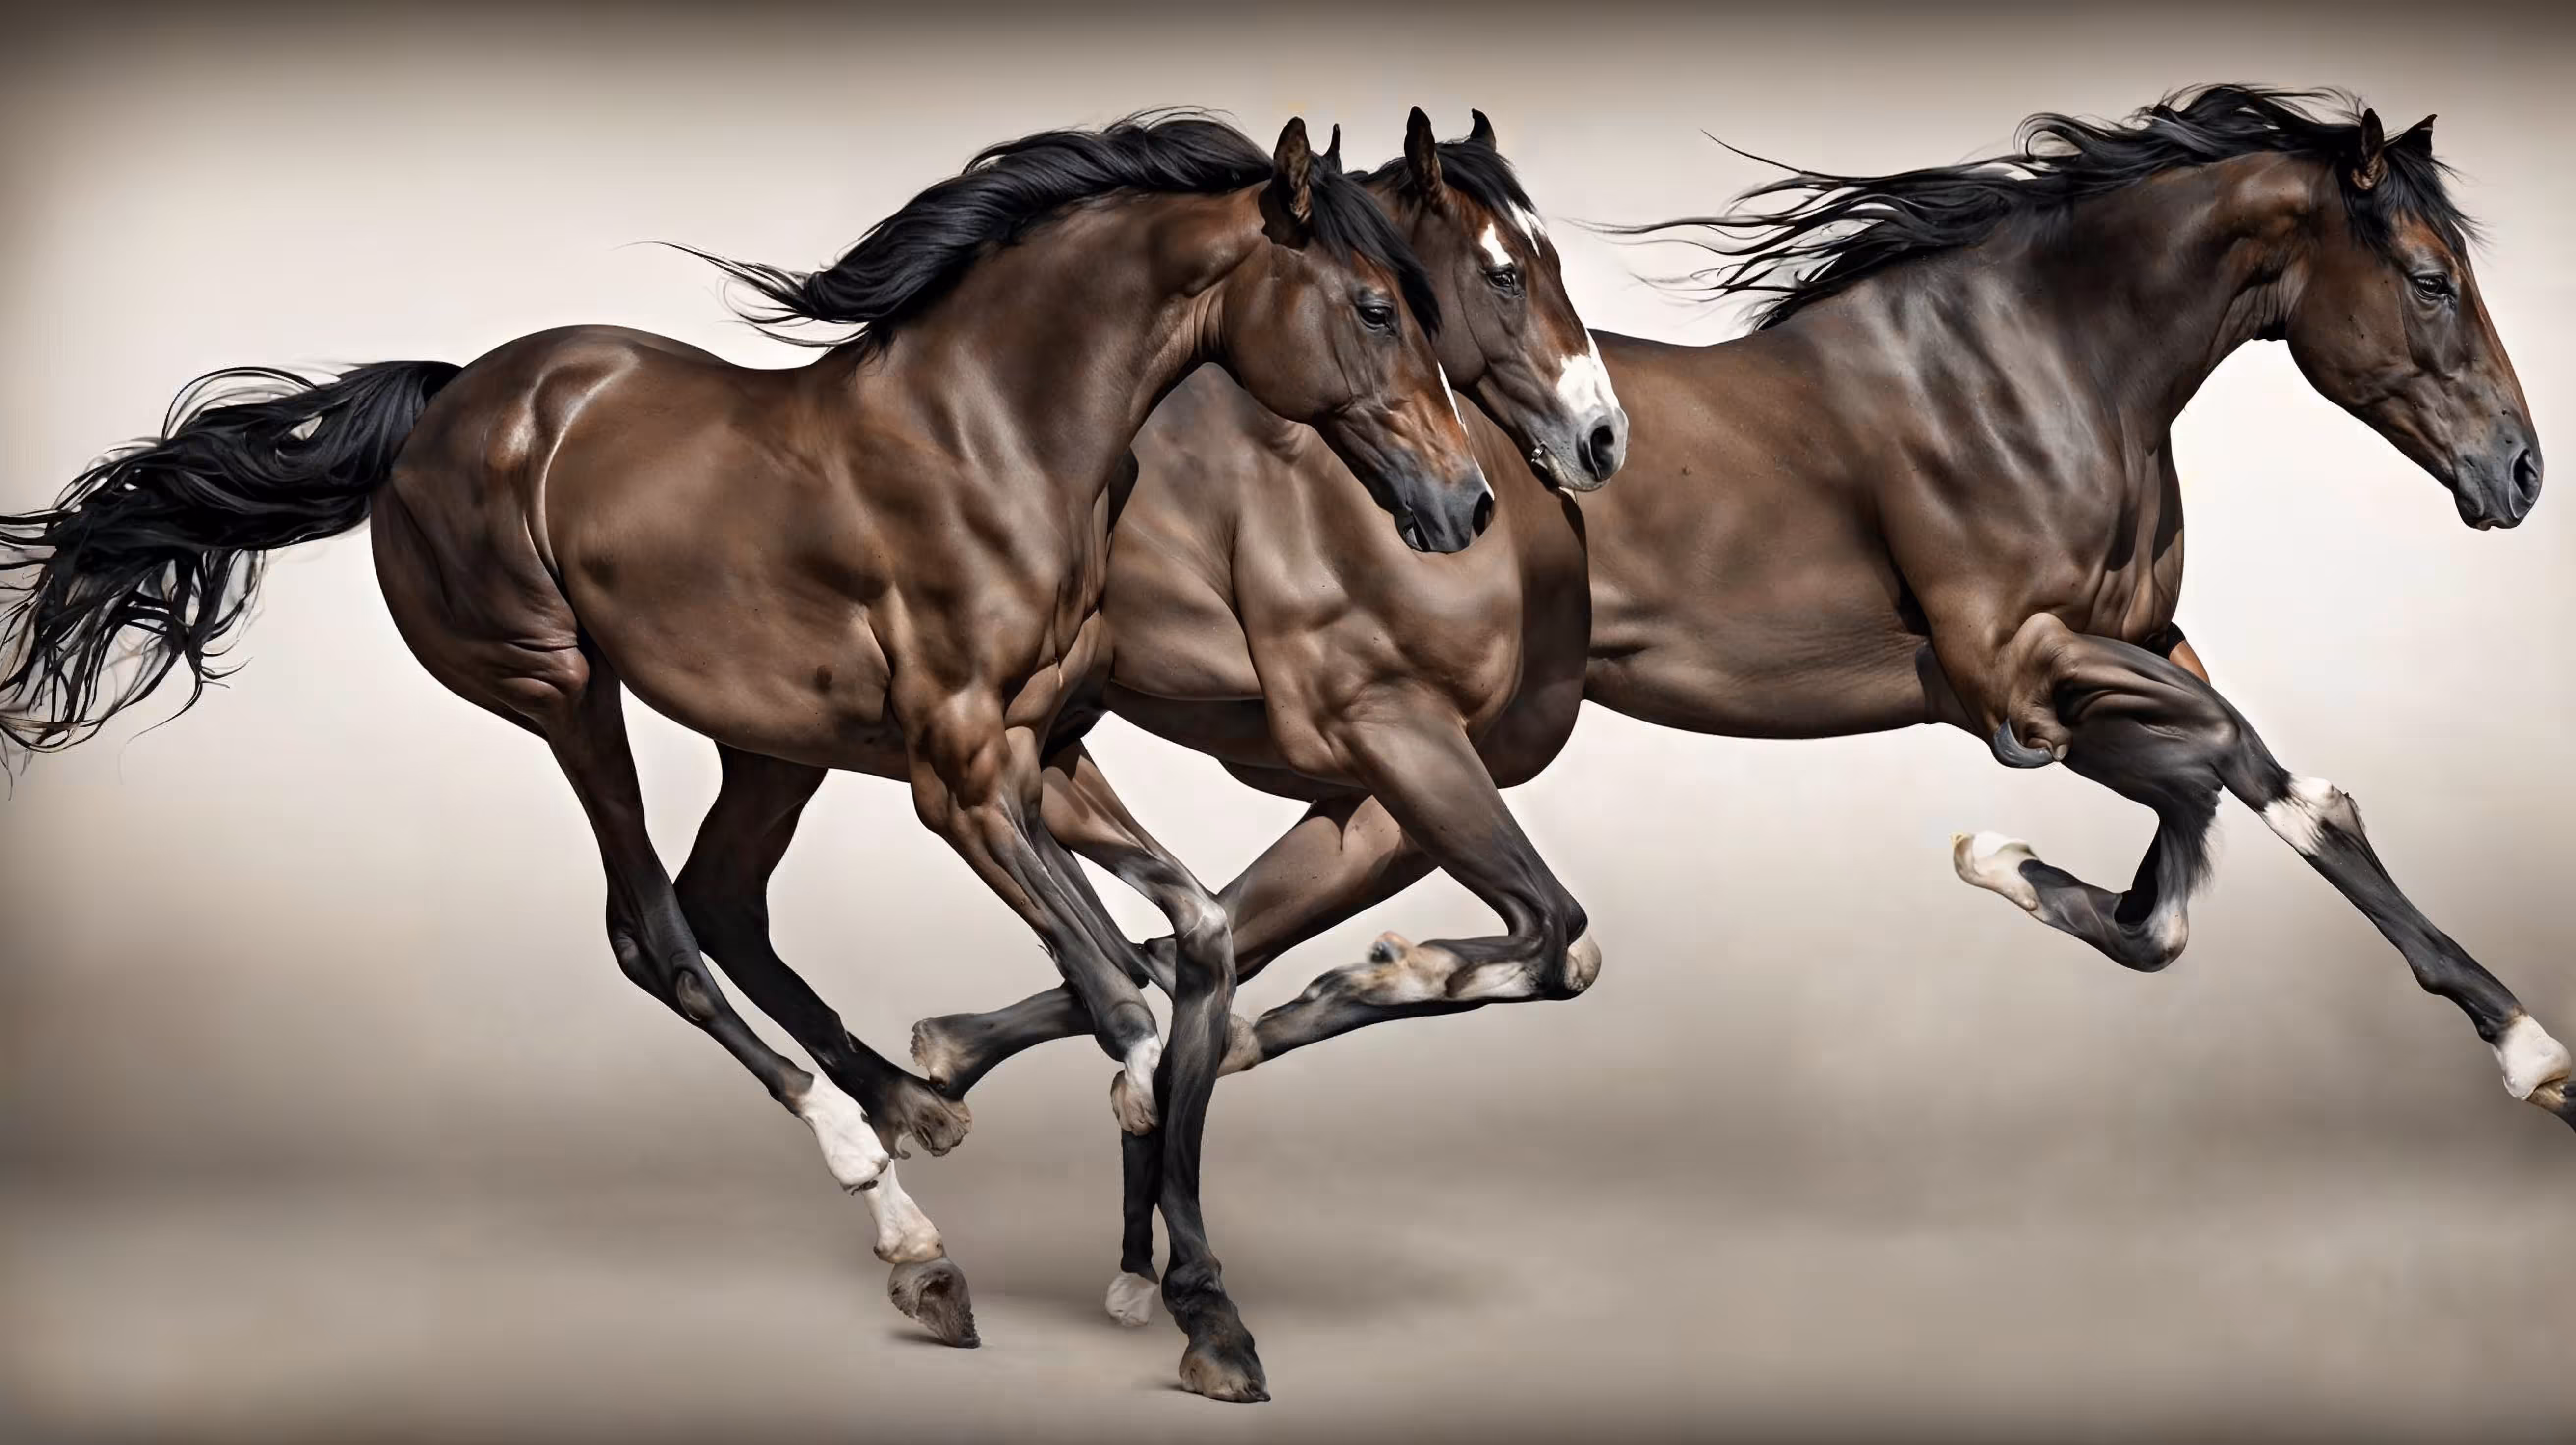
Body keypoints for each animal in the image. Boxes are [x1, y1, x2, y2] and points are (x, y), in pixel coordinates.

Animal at [0, 111, 1492, 1404]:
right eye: (1375, 306)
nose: (1466, 502)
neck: (1003, 437)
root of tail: (446, 403)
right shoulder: (961, 778)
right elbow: (1127, 1009)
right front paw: (1175, 1283)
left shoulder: (1048, 758)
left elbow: (1194, 947)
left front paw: (1181, 1295)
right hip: (562, 688)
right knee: (653, 930)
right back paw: (905, 1230)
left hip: (773, 743)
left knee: (723, 902)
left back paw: (911, 1108)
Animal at [904, 86, 2566, 1306]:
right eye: (2431, 277)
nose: (2520, 473)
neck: (2044, 369)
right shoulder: (2013, 669)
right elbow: (2235, 772)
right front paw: (2008, 858)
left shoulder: (2113, 652)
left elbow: (2252, 821)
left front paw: (2529, 1053)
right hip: (1344, 738)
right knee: (1154, 899)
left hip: (1389, 782)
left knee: (1203, 934)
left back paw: (1017, 1096)